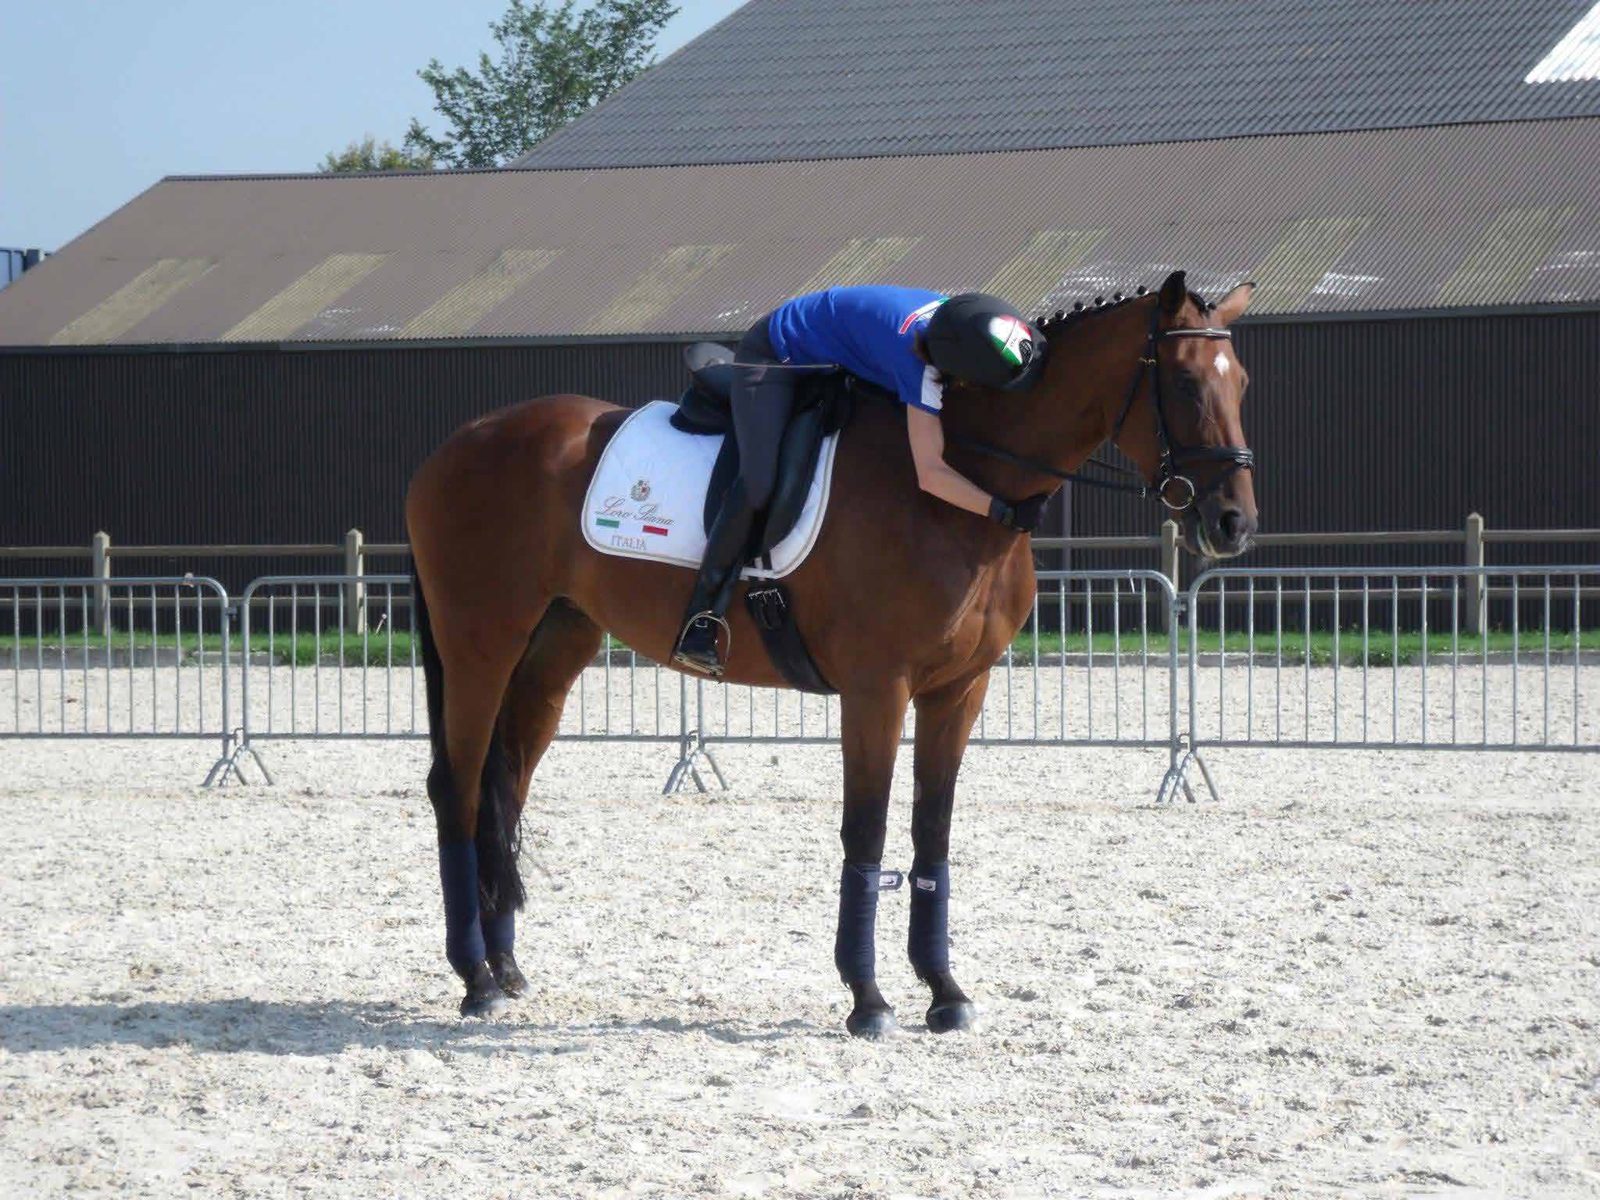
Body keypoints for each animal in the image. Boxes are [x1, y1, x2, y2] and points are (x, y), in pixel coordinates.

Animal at [404, 270, 1258, 1035]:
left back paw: (507, 968)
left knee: (505, 784)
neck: (960, 486)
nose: (1233, 524)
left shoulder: (959, 690)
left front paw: (944, 991)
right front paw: (869, 999)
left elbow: (931, 833)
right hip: (480, 643)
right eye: (1186, 385)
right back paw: (475, 979)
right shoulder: (878, 691)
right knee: (458, 788)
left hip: (556, 645)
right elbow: (868, 833)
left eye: (1242, 383)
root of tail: (456, 446)